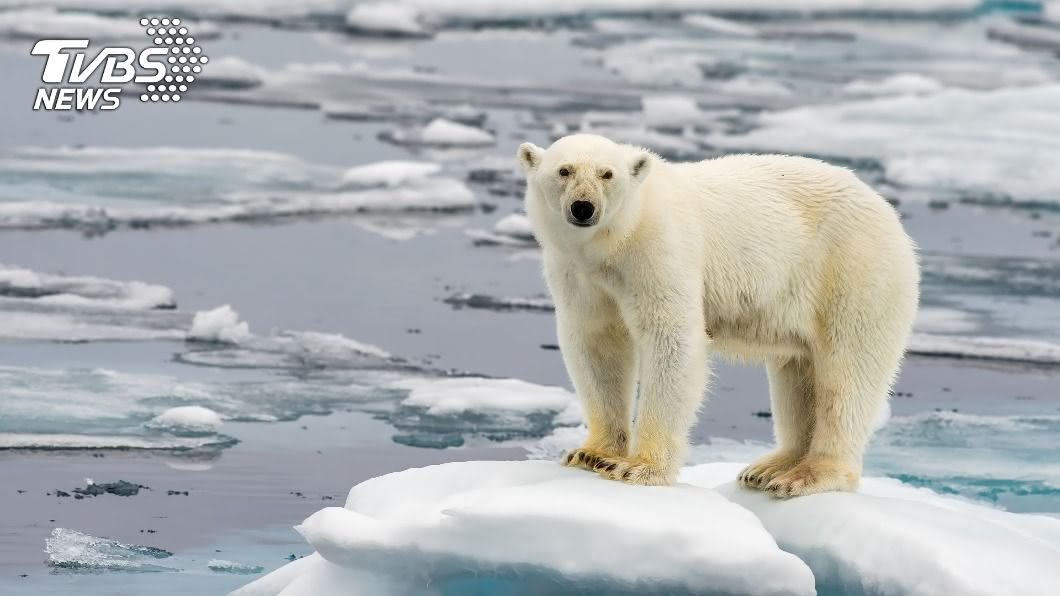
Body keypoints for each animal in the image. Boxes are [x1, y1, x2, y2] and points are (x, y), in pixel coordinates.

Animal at [518, 133, 919, 497]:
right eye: (564, 170)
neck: (616, 240)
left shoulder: (659, 251)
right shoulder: (578, 274)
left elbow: (672, 339)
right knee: (799, 372)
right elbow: (597, 345)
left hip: (853, 271)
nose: (583, 207)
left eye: (607, 174)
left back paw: (807, 475)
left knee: (847, 373)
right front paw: (591, 454)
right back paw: (768, 468)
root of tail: (891, 216)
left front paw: (638, 467)